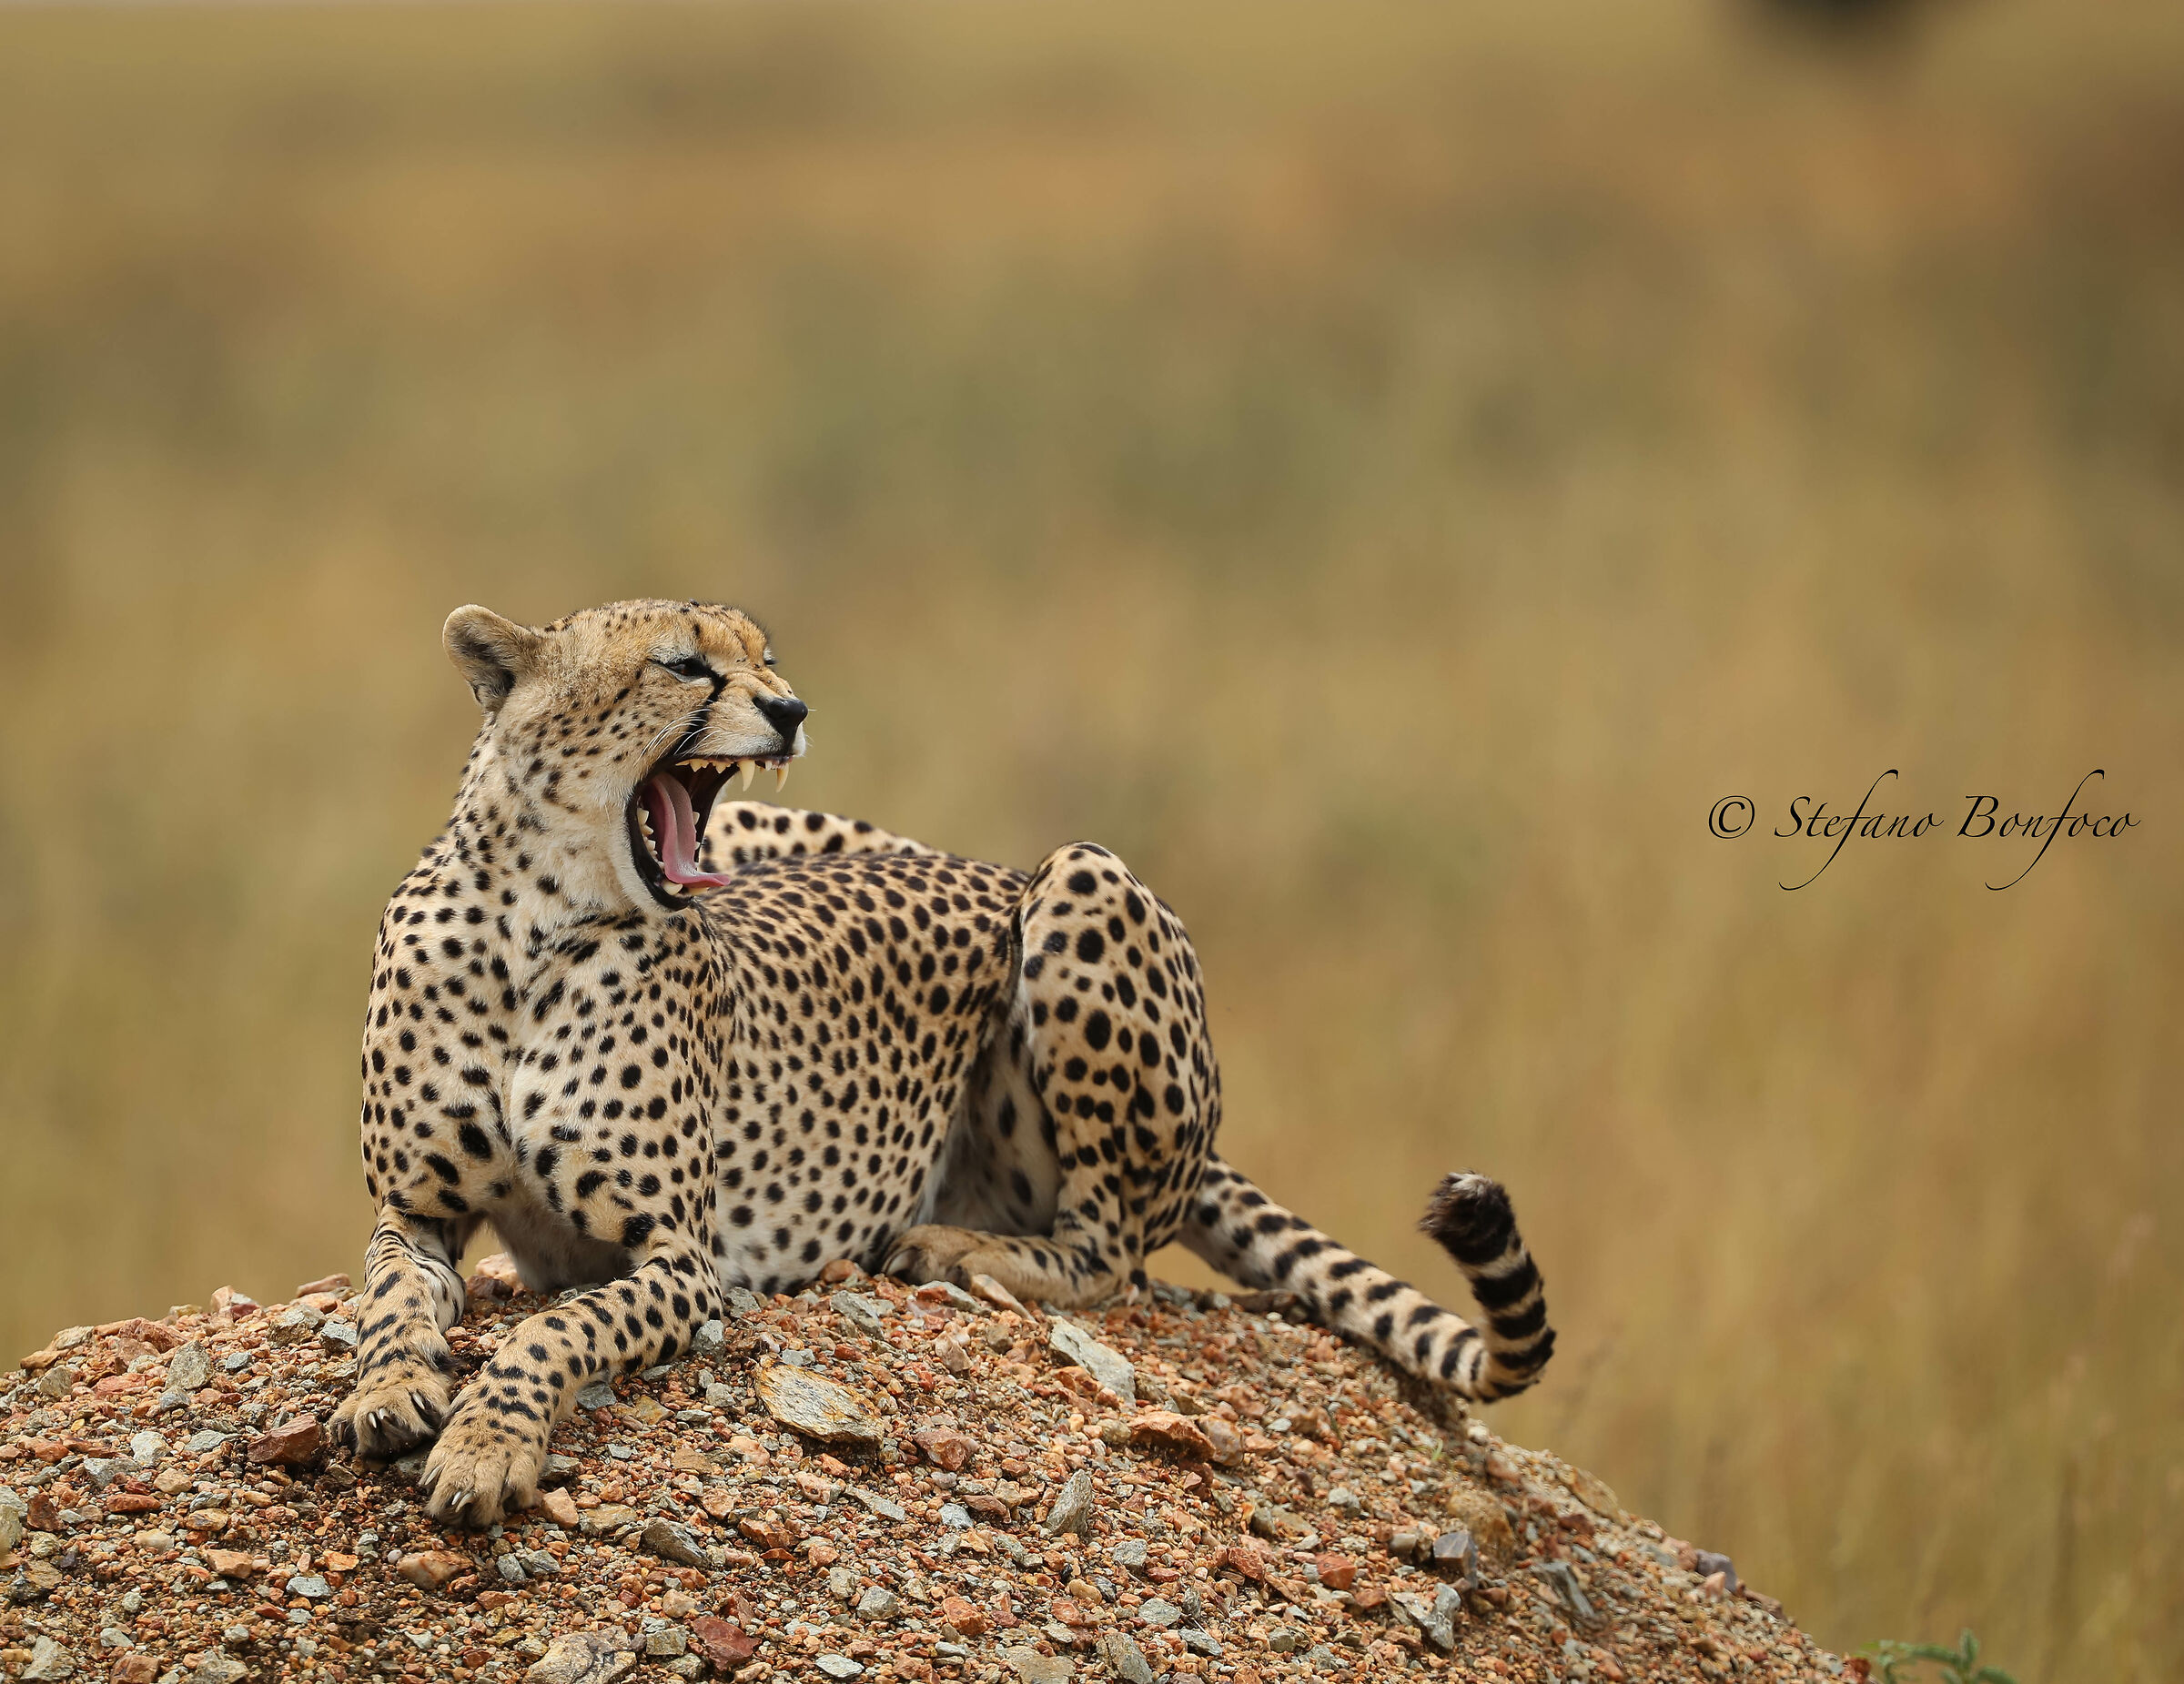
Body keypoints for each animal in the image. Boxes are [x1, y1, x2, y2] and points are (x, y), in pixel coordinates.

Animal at [331, 597, 1555, 1525]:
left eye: (767, 656)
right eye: (684, 664)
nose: (792, 709)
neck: (530, 930)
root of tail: (984, 864)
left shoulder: (683, 1256)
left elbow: (555, 1327)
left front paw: (486, 1444)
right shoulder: (417, 1208)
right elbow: (388, 1293)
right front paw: (388, 1394)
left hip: (1081, 878)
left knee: (1111, 1255)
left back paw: (954, 1248)